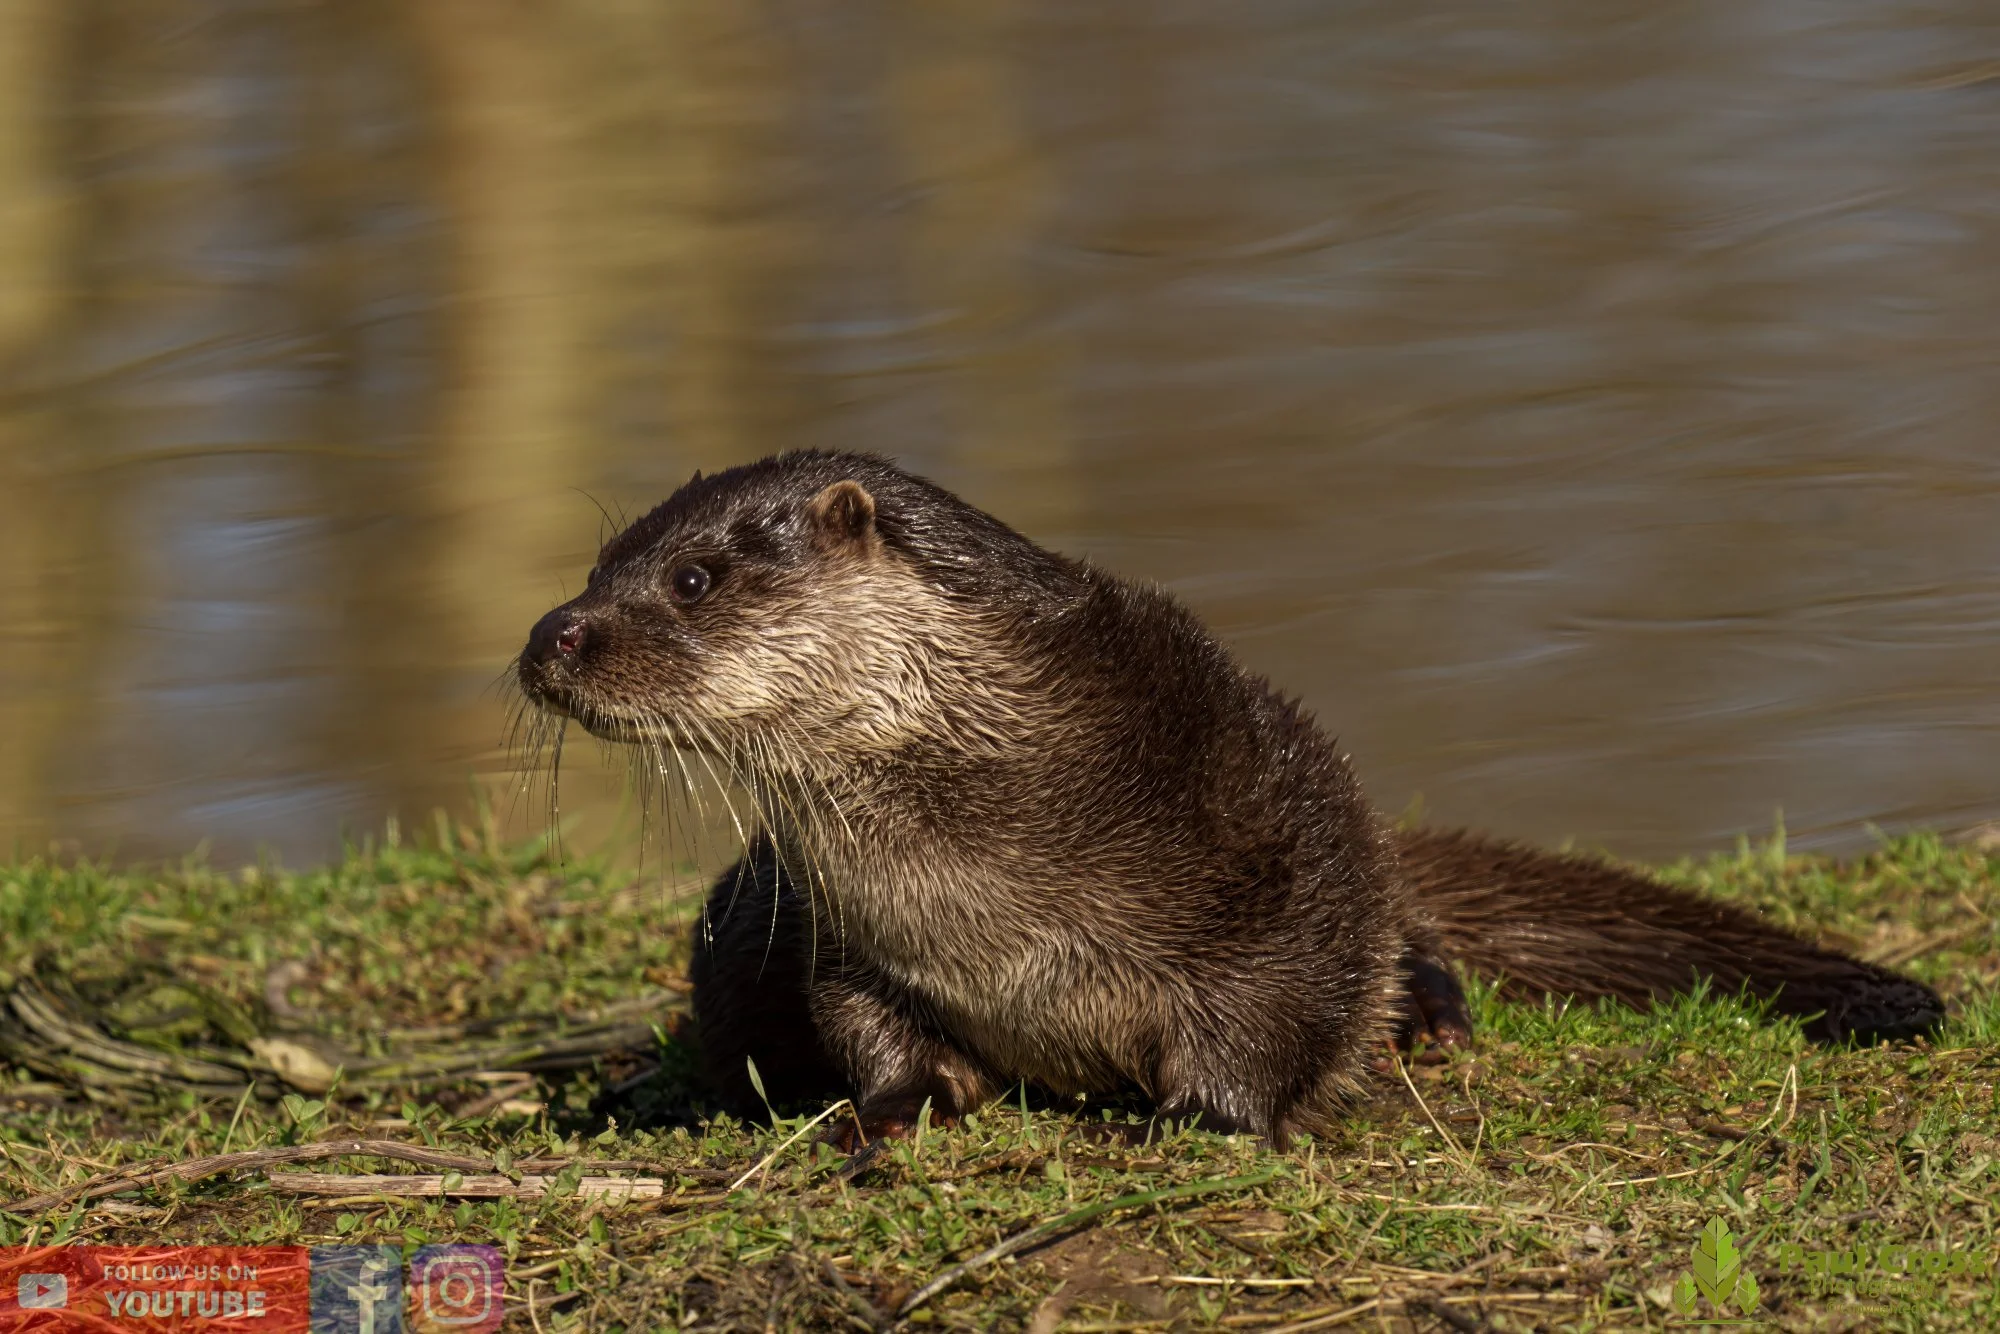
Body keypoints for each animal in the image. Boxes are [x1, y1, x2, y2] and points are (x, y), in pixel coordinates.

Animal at [516, 451, 1942, 1147]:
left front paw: (1196, 1119)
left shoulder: (1272, 836)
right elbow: (873, 1034)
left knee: (1398, 930)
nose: (547, 634)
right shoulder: (845, 934)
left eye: (691, 578)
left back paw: (1427, 1019)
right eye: (596, 561)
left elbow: (1272, 1002)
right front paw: (885, 1113)